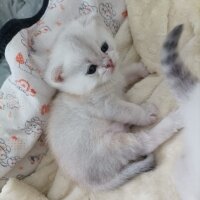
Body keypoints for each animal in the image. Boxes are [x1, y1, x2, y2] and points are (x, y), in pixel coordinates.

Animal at [45, 14, 181, 191]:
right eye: (91, 69)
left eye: (104, 47)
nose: (108, 63)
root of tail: (90, 184)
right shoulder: (108, 105)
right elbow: (131, 110)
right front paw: (145, 113)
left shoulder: (119, 76)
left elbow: (127, 71)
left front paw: (142, 69)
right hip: (116, 144)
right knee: (146, 142)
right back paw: (175, 119)